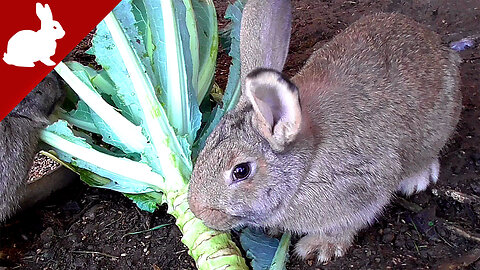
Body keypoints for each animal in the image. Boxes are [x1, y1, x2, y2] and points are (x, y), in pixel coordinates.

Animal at [187, 0, 462, 262]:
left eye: (241, 171)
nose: (197, 210)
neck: (304, 169)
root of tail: (436, 43)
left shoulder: (362, 188)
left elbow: (348, 223)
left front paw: (319, 247)